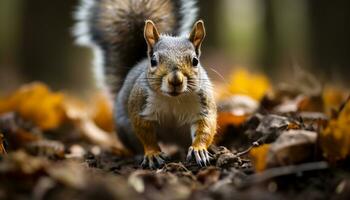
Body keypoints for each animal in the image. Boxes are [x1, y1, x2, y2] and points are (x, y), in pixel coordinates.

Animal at [73, 0, 216, 169]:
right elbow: (145, 134)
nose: (175, 80)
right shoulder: (141, 107)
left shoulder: (204, 106)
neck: (173, 99)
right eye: (153, 61)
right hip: (125, 129)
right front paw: (153, 153)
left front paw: (199, 149)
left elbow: (205, 127)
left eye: (195, 61)